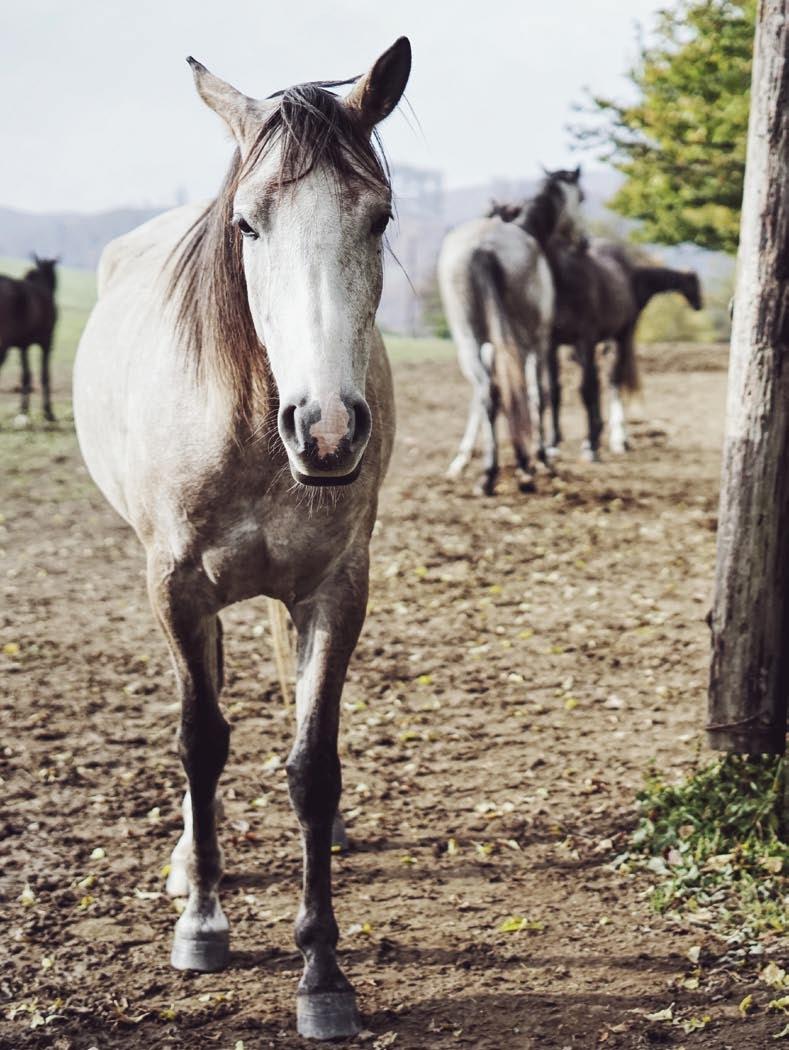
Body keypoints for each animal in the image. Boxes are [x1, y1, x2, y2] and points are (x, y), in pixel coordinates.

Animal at [0, 257, 58, 422]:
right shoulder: (47, 342)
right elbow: (45, 375)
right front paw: (48, 412)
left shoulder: (23, 345)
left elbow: (25, 375)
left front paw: (23, 410)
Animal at [74, 37, 413, 1037]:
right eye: (248, 226)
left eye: (378, 217)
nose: (328, 429)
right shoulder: (176, 586)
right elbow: (200, 740)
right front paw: (202, 921)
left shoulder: (337, 588)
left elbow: (311, 765)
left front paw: (323, 974)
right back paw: (192, 860)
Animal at [439, 170, 588, 497]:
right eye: (582, 198)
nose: (584, 241)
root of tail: (483, 247)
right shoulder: (540, 341)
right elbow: (539, 394)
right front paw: (542, 457)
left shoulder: (489, 347)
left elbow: (481, 399)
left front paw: (463, 460)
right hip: (519, 341)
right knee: (515, 391)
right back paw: (521, 465)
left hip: (468, 339)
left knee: (488, 393)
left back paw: (489, 474)